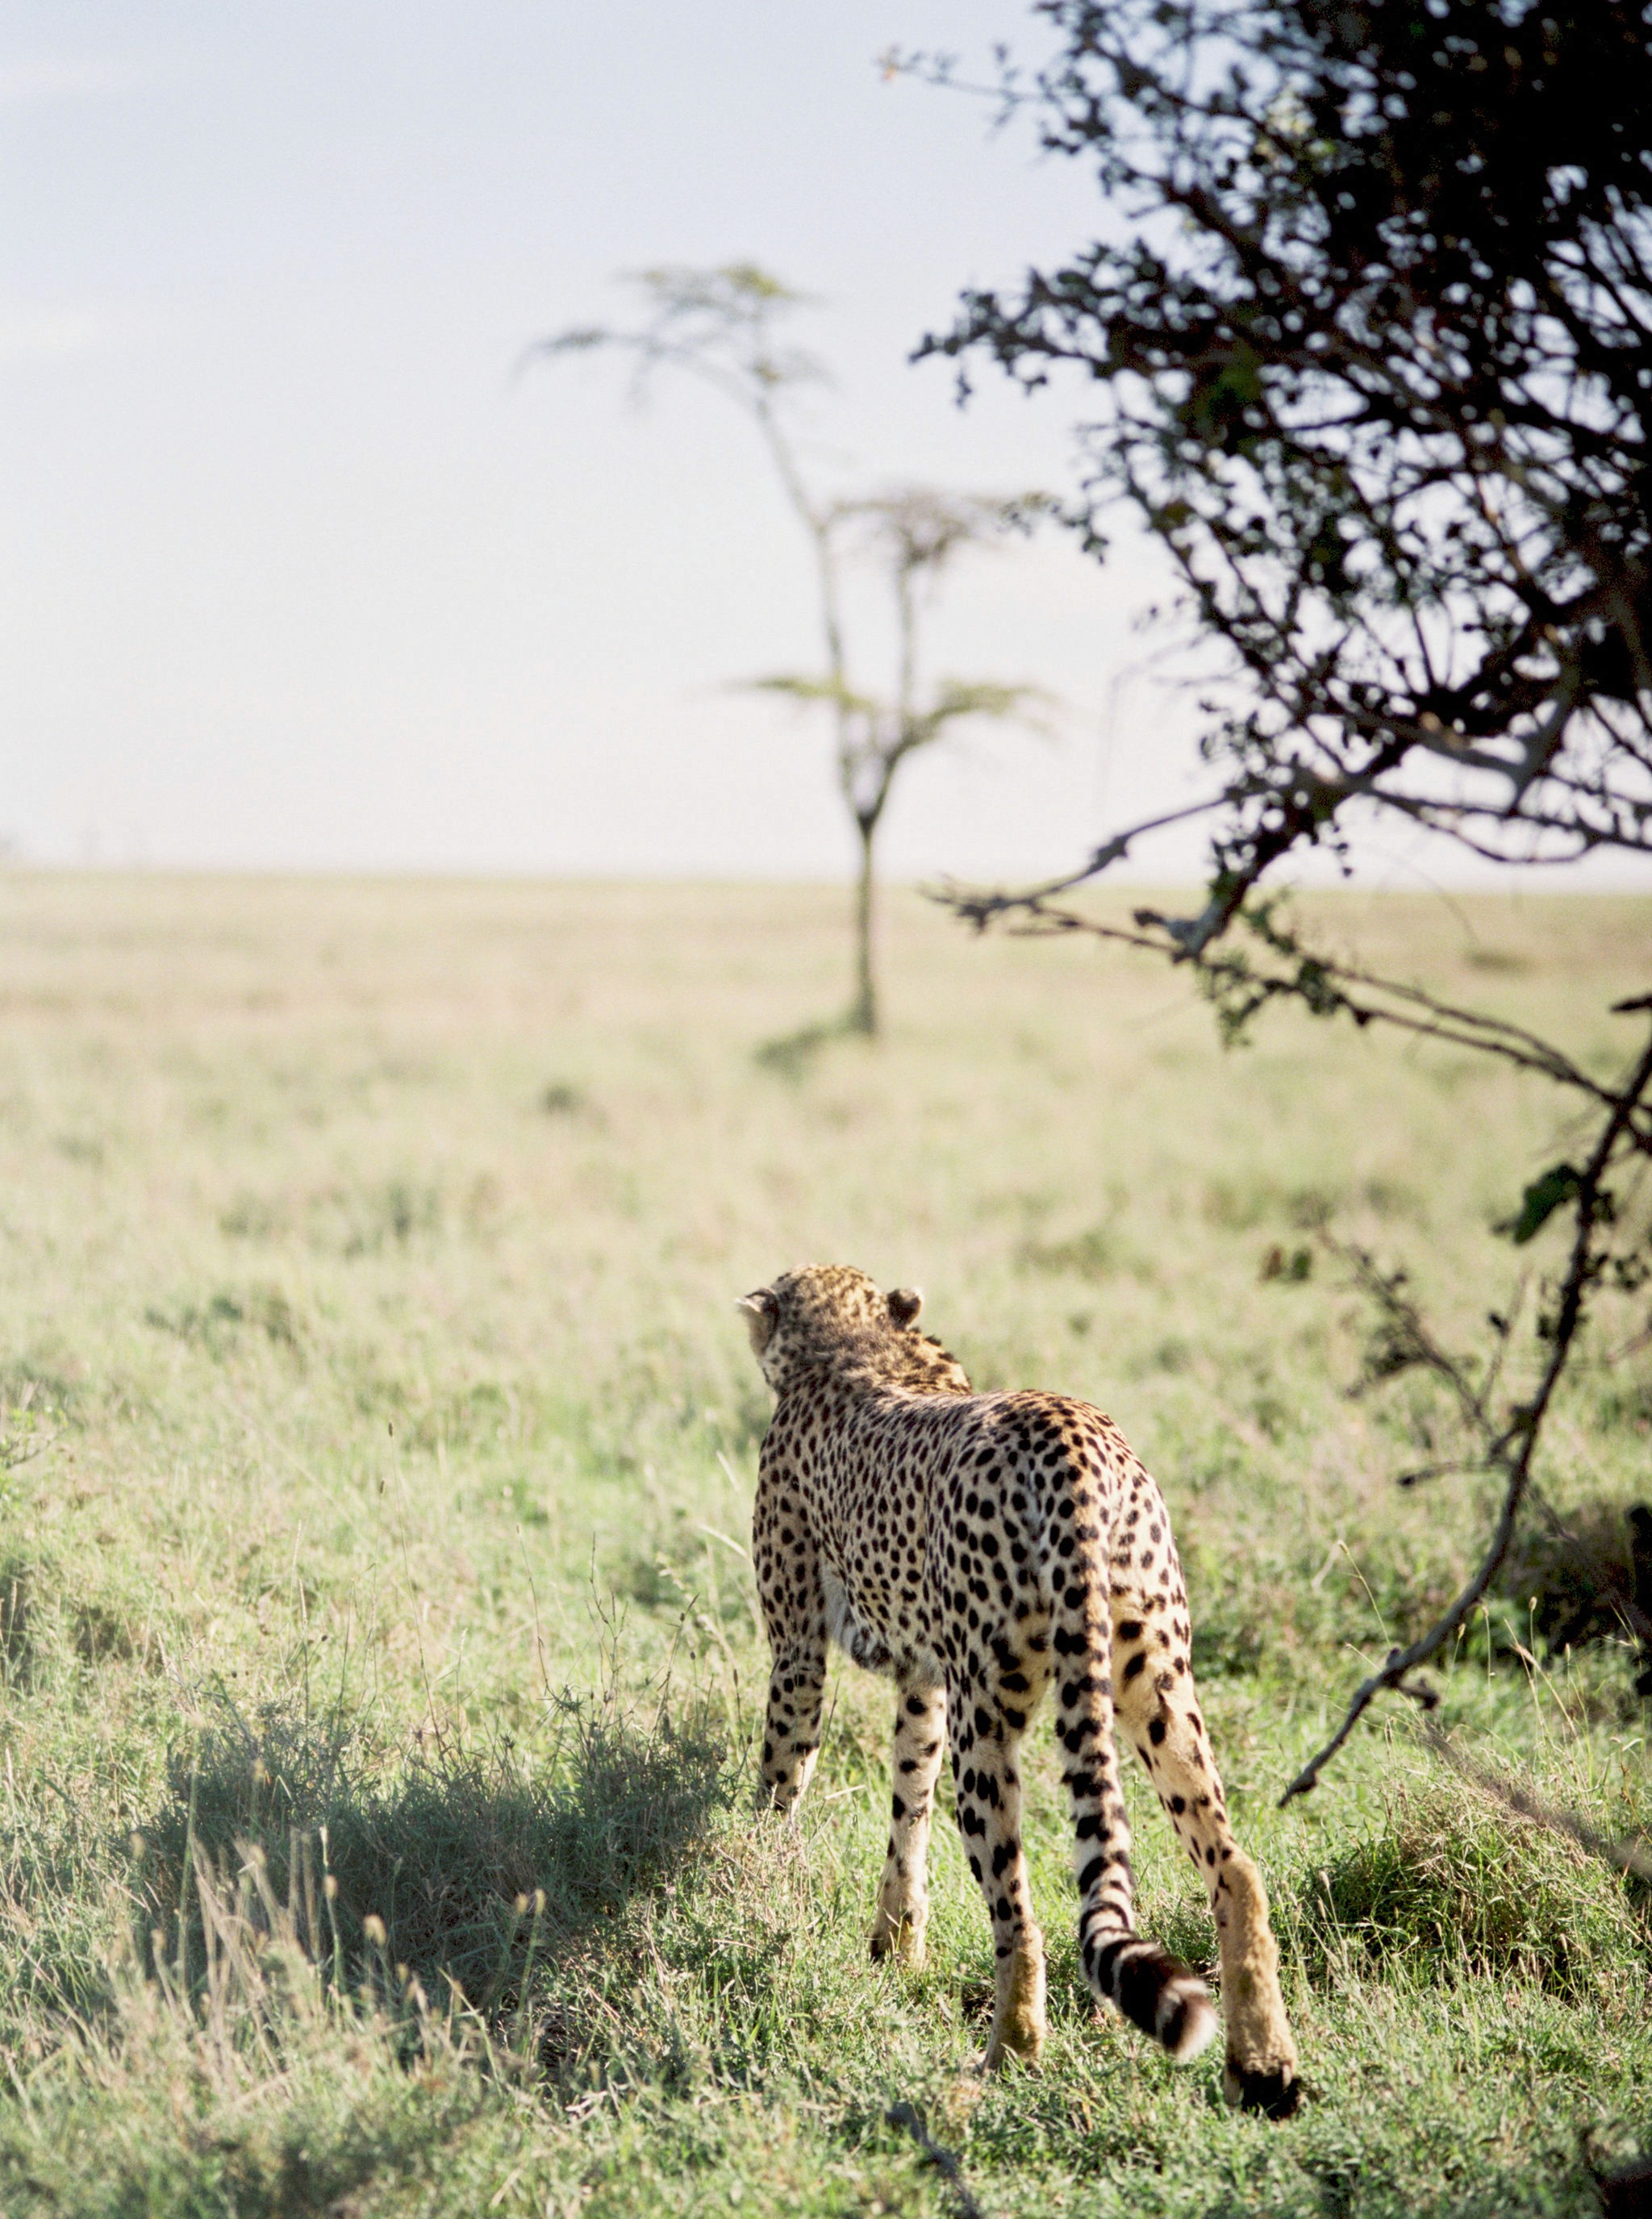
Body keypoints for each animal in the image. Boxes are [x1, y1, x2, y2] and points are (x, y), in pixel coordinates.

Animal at [741, 1269, 1296, 2112]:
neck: (861, 1348)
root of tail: (1071, 1432)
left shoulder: (802, 1652)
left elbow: (782, 1781)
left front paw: (747, 1882)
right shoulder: (927, 1678)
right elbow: (909, 1802)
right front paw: (896, 1945)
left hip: (992, 1722)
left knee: (1020, 1910)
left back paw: (1008, 2052)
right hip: (1156, 1684)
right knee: (1233, 1866)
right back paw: (1262, 2067)